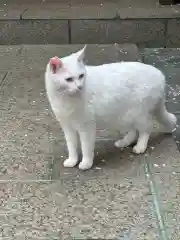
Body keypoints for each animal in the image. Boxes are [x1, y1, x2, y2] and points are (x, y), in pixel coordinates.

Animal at [44, 46, 176, 170]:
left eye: (81, 76)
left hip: (139, 114)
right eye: (69, 79)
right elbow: (71, 146)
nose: (80, 87)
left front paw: (86, 163)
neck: (65, 98)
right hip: (125, 116)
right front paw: (72, 160)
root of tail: (160, 73)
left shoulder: (86, 126)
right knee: (133, 131)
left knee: (145, 129)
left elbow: (86, 147)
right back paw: (124, 142)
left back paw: (140, 147)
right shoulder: (67, 126)